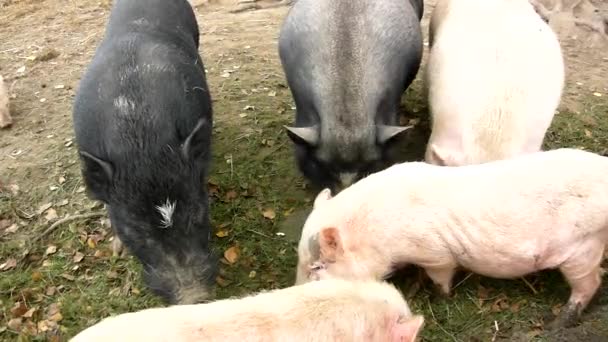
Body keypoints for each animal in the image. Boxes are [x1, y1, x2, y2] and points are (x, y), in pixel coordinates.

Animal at [296, 148, 608, 328]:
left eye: (318, 266)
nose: (295, 289)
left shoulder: (435, 253)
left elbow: (441, 278)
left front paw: (439, 297)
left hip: (584, 246)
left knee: (591, 282)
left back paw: (559, 323)